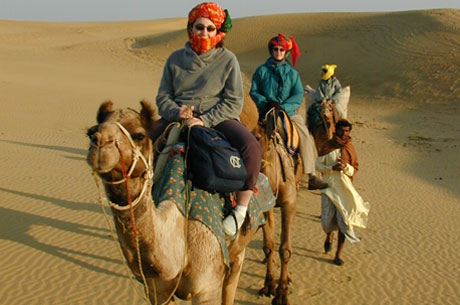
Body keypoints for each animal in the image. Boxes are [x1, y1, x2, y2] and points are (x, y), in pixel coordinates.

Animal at [250, 107, 304, 304]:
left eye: (258, 137)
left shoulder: (289, 204)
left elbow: (285, 250)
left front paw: (282, 293)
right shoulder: (263, 207)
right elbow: (269, 246)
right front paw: (268, 285)